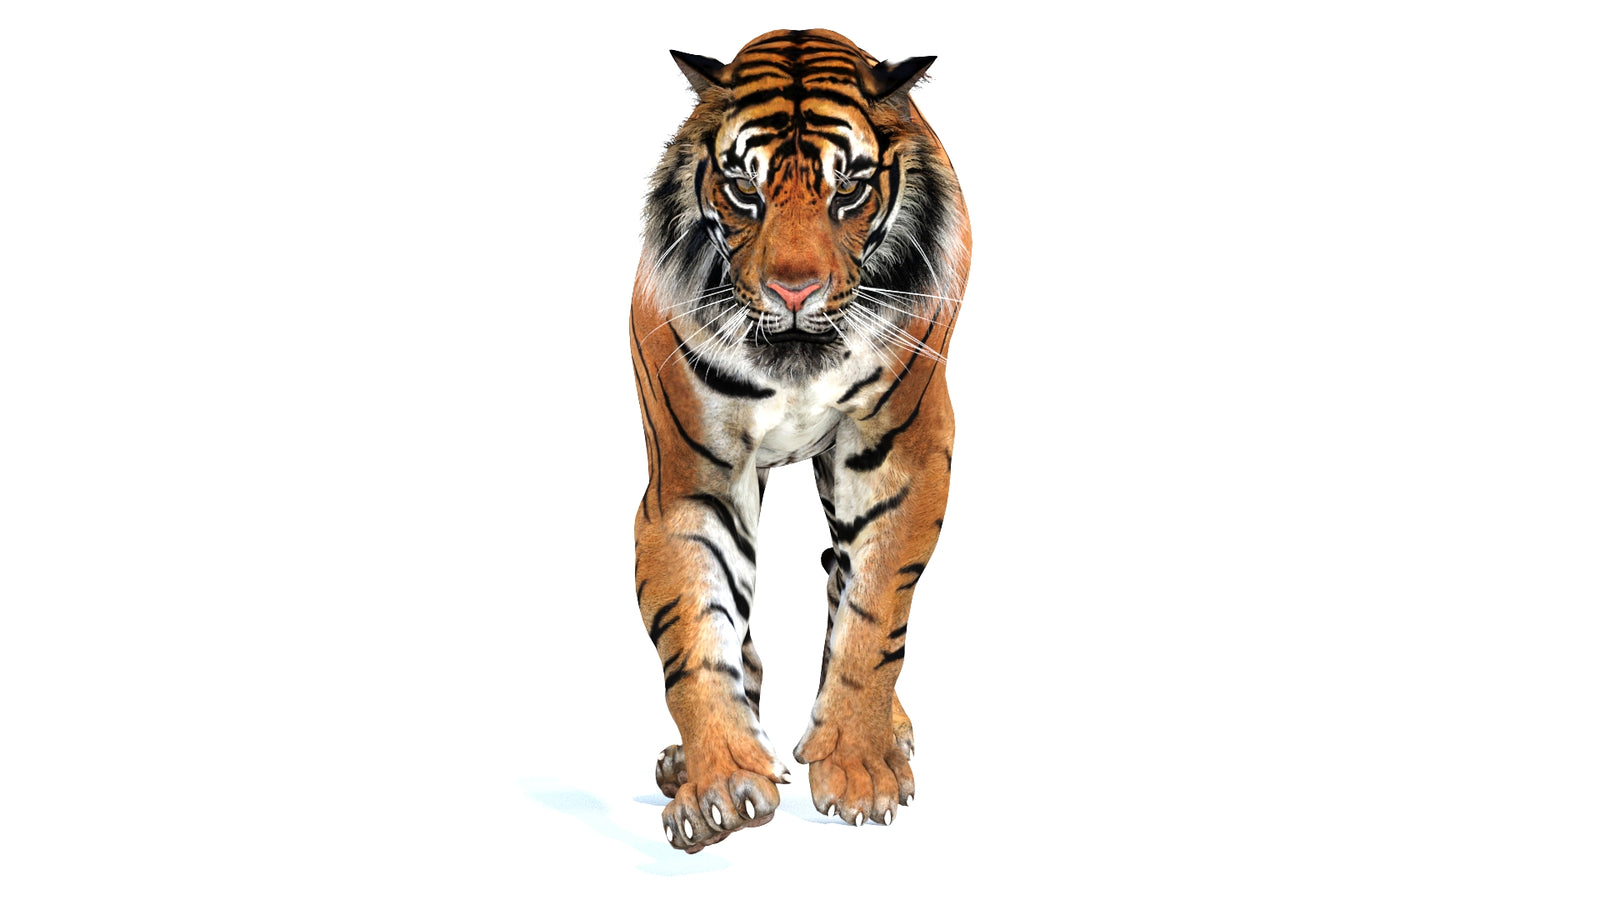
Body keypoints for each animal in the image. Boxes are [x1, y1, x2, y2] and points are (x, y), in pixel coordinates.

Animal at [629, 28, 970, 853]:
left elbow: (874, 615)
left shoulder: (901, 456)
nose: (793, 290)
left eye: (849, 191)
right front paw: (720, 784)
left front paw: (857, 766)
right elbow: (697, 631)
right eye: (742, 189)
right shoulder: (693, 480)